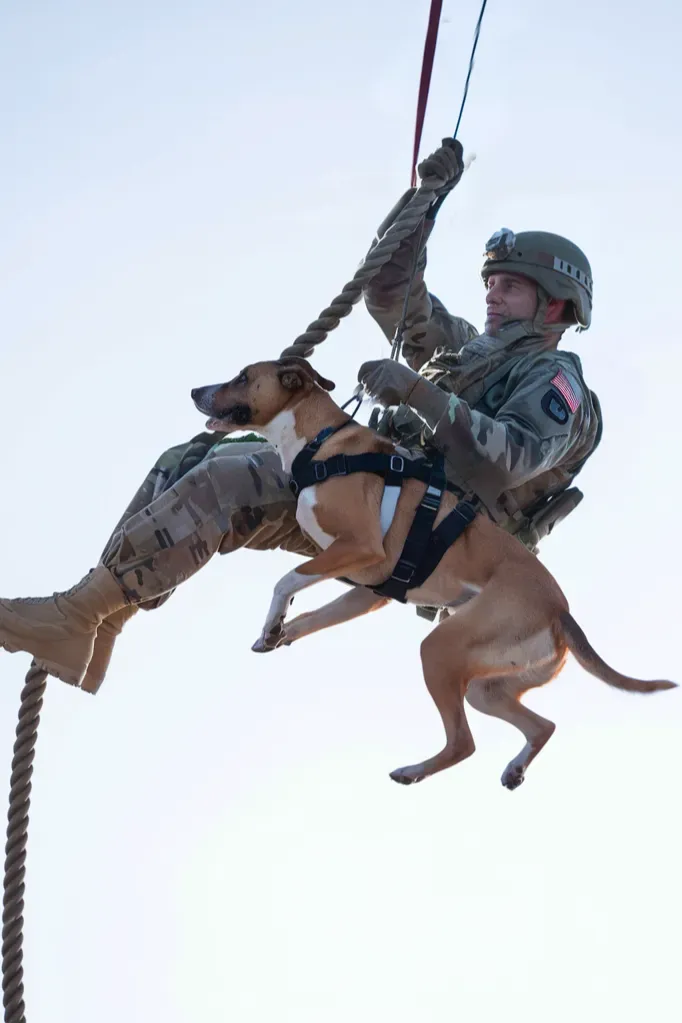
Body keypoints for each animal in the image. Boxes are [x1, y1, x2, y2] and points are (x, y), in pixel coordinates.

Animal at [192, 358, 678, 789]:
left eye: (243, 376)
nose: (195, 391)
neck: (323, 443)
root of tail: (561, 613)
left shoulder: (359, 546)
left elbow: (288, 579)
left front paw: (275, 620)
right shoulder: (369, 588)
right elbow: (314, 615)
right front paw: (277, 632)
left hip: (441, 650)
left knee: (464, 742)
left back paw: (412, 771)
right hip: (487, 685)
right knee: (541, 726)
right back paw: (513, 768)